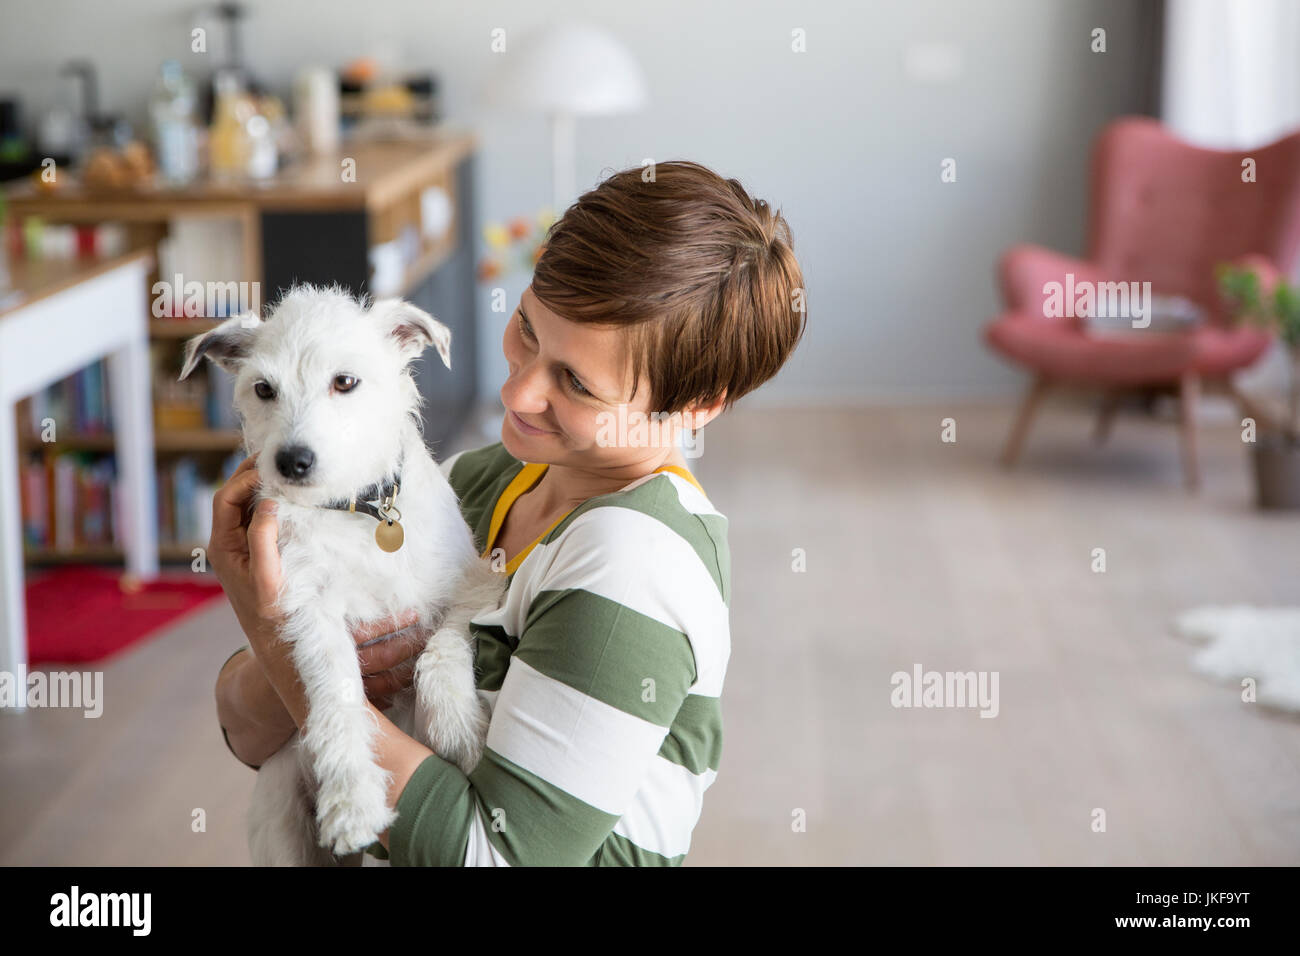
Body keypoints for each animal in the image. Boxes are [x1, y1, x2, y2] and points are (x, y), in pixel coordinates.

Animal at [182, 283, 501, 868]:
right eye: (263, 389)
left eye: (345, 382)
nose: (292, 461)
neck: (358, 511)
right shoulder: (309, 614)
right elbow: (336, 694)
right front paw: (352, 800)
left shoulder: (475, 585)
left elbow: (441, 654)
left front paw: (461, 733)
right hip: (282, 819)